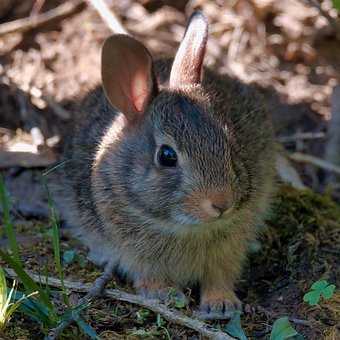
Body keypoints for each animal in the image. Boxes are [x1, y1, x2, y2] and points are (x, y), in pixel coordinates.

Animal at [58, 11, 276, 318]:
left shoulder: (230, 248)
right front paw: (164, 294)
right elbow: (149, 274)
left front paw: (221, 304)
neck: (184, 226)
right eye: (167, 156)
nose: (222, 203)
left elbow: (220, 274)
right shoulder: (134, 252)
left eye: (230, 140)